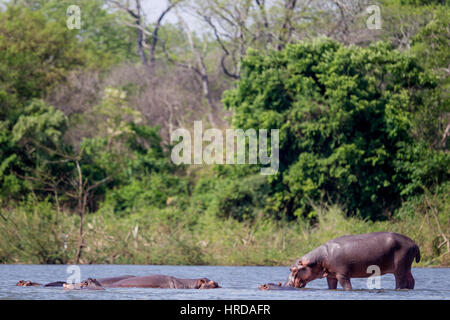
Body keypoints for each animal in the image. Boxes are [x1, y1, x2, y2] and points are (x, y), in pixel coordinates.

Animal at [286, 232, 420, 290]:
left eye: (294, 270)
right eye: (290, 268)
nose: (287, 285)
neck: (319, 258)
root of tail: (414, 243)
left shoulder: (342, 274)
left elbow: (347, 286)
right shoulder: (331, 275)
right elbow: (331, 286)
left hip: (399, 269)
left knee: (400, 282)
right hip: (407, 267)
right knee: (411, 280)